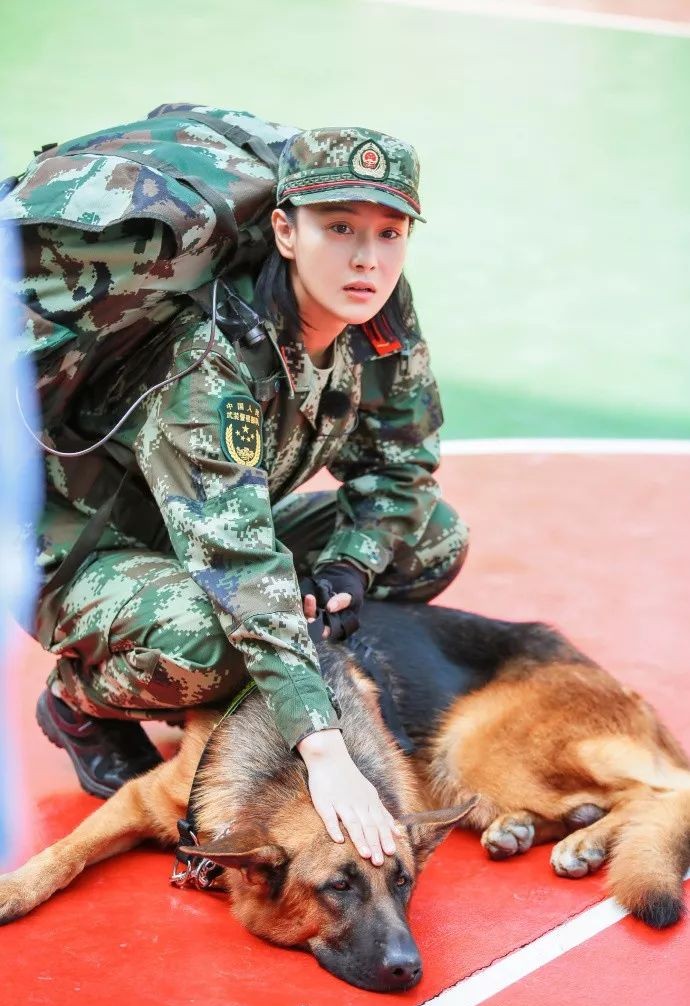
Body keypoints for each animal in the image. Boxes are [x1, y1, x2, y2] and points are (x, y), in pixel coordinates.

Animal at [1, 595, 690, 989]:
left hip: (473, 743)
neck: (295, 763)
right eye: (338, 888)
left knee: (658, 791)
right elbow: (63, 855)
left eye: (405, 883)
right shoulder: (138, 801)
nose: (412, 970)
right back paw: (529, 829)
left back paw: (583, 840)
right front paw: (14, 888)